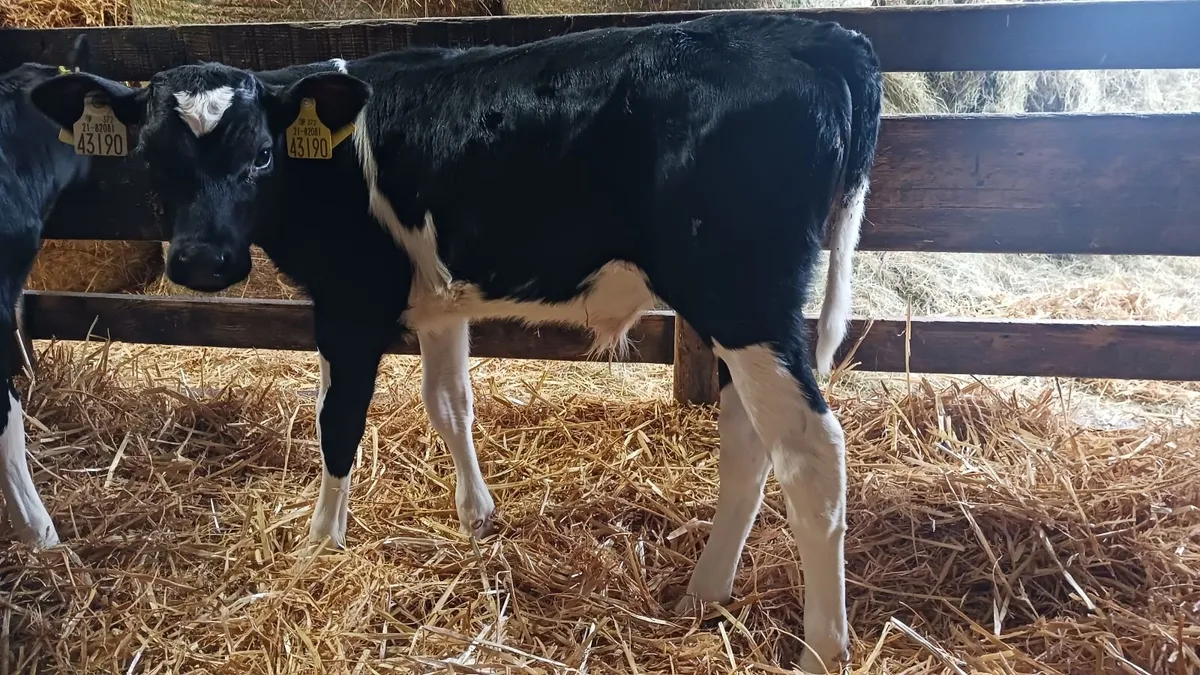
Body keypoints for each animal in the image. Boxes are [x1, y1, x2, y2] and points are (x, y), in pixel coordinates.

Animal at [31, 14, 881, 671]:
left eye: (261, 155)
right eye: (151, 157)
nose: (203, 263)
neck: (325, 158)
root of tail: (821, 34)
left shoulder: (350, 302)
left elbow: (337, 419)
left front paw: (321, 543)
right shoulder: (440, 306)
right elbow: (449, 404)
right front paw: (478, 519)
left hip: (742, 294)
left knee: (811, 451)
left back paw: (820, 648)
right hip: (738, 308)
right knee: (748, 438)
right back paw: (703, 592)